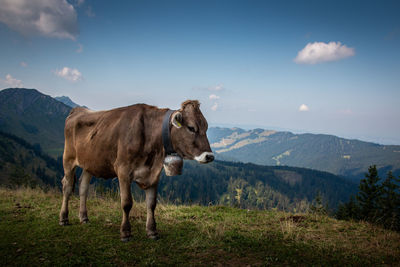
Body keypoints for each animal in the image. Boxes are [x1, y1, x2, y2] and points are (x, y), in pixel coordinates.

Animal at [59, 99, 214, 242]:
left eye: (206, 128)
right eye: (191, 128)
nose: (210, 156)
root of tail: (77, 110)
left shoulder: (154, 175)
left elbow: (151, 204)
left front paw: (152, 231)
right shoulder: (123, 170)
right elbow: (127, 203)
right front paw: (125, 232)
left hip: (90, 163)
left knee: (83, 187)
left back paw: (84, 217)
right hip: (68, 158)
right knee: (67, 186)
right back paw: (64, 218)